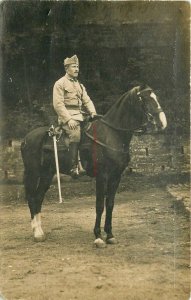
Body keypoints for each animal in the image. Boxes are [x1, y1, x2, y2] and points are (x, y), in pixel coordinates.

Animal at [21, 84, 167, 246]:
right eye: (145, 99)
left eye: (156, 97)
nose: (162, 123)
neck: (111, 134)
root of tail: (26, 138)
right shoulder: (102, 176)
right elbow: (99, 205)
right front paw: (98, 236)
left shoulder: (116, 176)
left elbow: (110, 204)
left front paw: (109, 235)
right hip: (33, 173)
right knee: (32, 198)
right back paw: (36, 232)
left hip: (47, 174)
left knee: (38, 198)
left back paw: (40, 232)